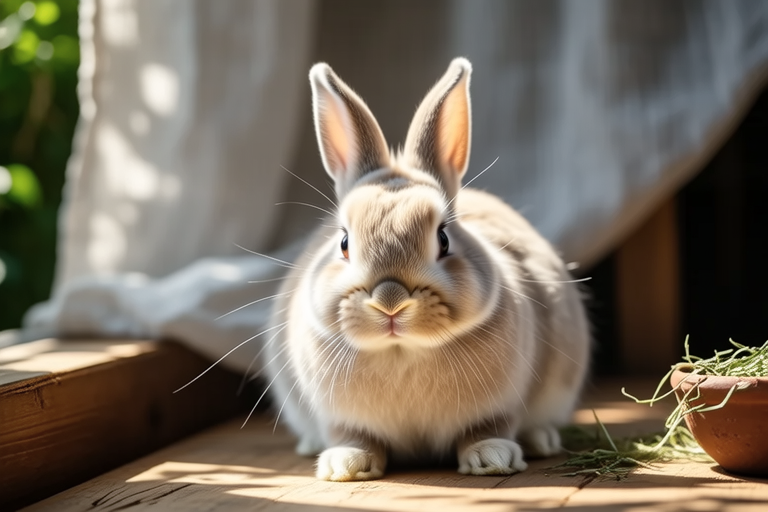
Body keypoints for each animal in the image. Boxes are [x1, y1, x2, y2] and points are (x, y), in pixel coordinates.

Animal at [262, 57, 590, 481]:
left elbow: (486, 429)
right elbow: (355, 437)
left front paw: (492, 458)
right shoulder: (339, 416)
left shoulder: (498, 406)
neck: (403, 351)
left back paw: (540, 441)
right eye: (344, 243)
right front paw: (345, 465)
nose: (390, 301)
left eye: (444, 239)